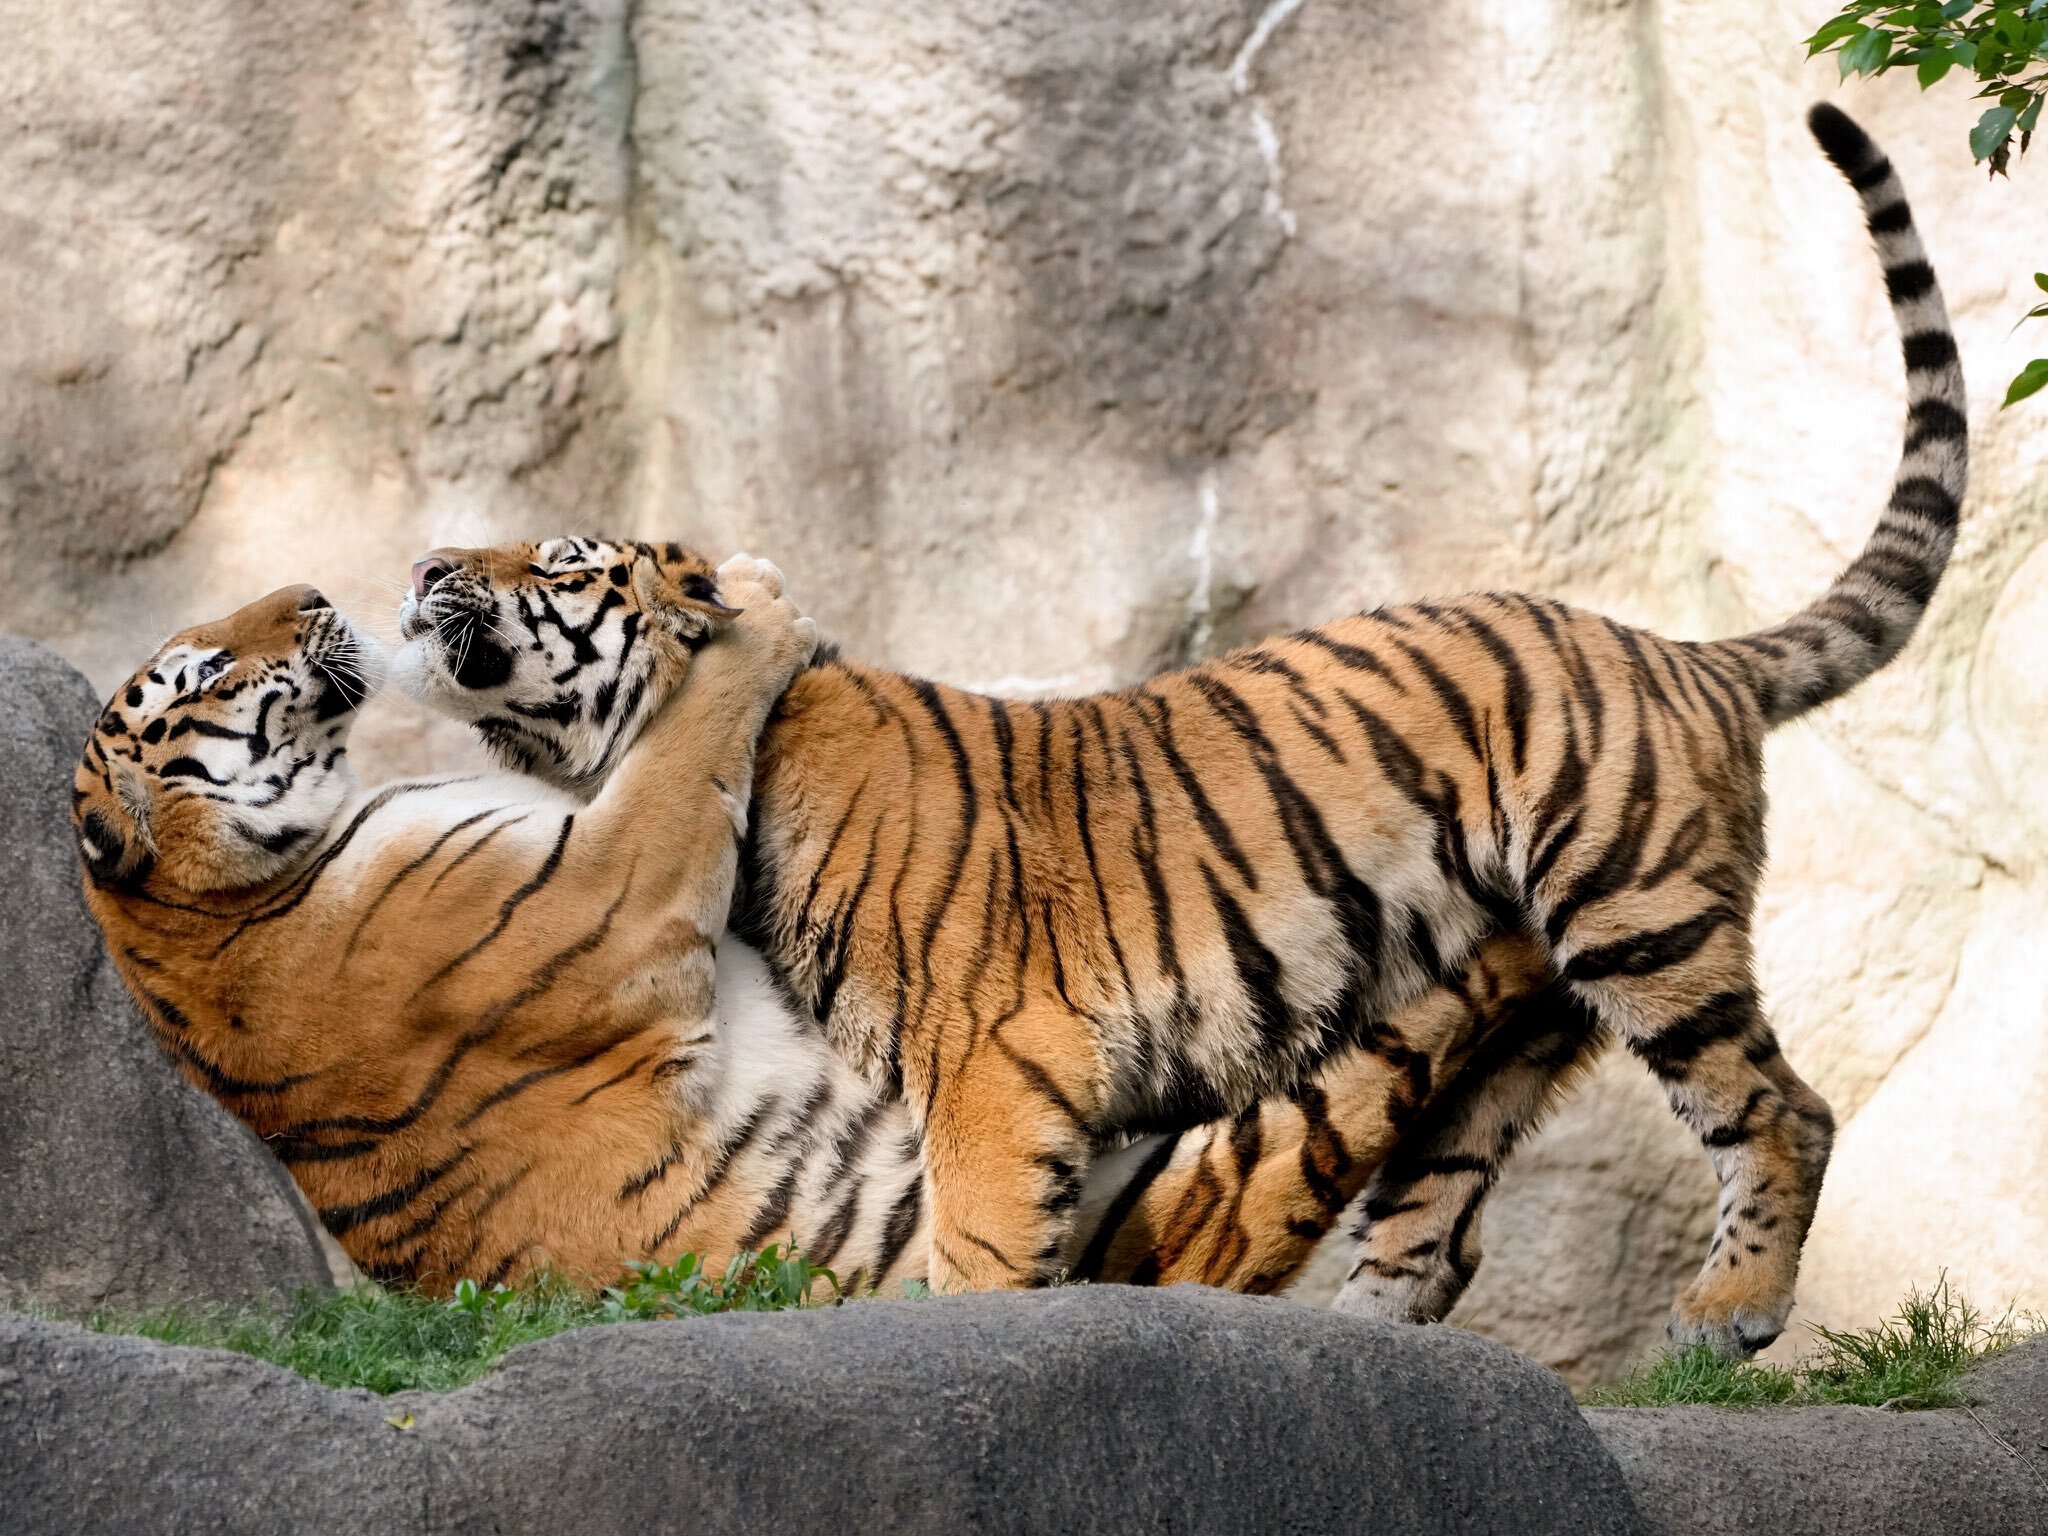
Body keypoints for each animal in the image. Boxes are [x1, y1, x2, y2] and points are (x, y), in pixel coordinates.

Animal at [64, 561, 1572, 1302]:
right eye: (205, 667)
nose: (314, 597)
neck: (209, 908)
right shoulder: (612, 894)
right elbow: (688, 738)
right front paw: (757, 618)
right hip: (1222, 1157)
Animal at [395, 108, 1966, 1359]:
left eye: (562, 562)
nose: (419, 568)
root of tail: (1681, 651)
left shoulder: (992, 1064)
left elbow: (979, 1249)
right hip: (1507, 1029)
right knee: (1436, 1223)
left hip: (1637, 914)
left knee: (1781, 1110)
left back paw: (1725, 1318)